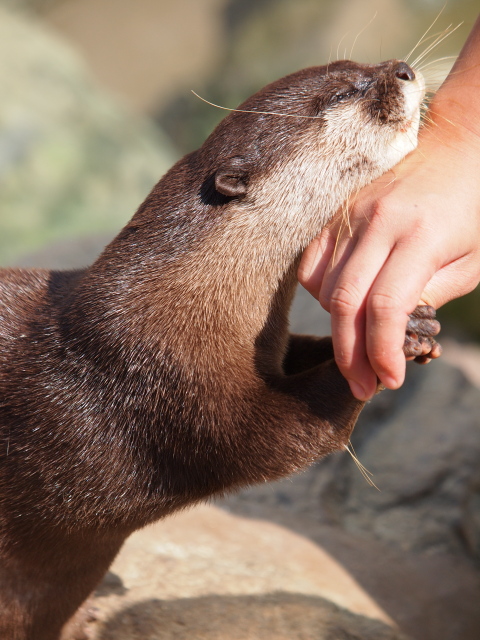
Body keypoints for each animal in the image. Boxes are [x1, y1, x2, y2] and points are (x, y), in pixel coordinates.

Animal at [0, 57, 440, 636]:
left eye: (356, 66)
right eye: (345, 92)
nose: (403, 69)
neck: (184, 301)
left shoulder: (263, 350)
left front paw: (420, 322)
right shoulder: (168, 384)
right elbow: (283, 435)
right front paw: (385, 343)